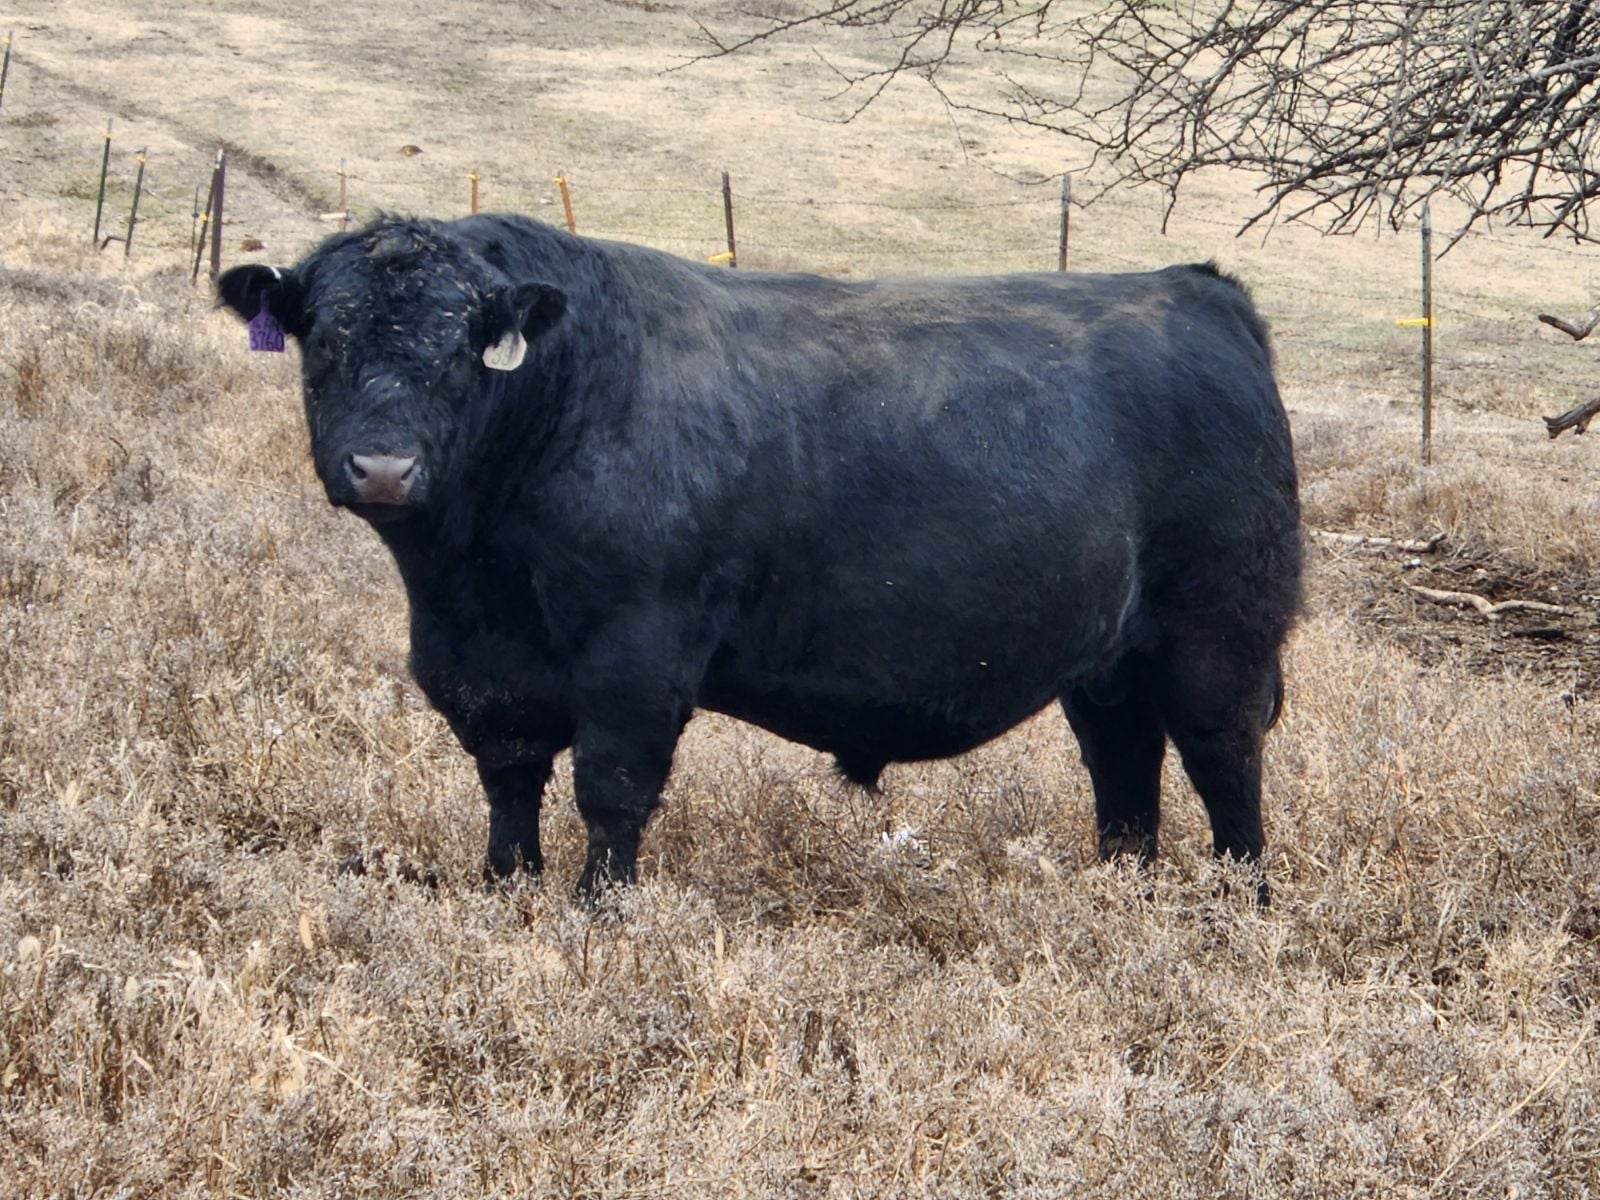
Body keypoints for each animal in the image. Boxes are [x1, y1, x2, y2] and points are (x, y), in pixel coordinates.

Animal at [218, 214, 1301, 900]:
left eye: (457, 347)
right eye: (325, 341)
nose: (383, 467)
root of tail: (1195, 290)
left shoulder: (637, 657)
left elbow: (611, 789)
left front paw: (596, 912)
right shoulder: (486, 671)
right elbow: (510, 781)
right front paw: (504, 890)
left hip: (1219, 630)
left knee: (1222, 756)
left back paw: (1235, 907)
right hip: (1107, 660)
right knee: (1123, 765)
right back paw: (1124, 892)